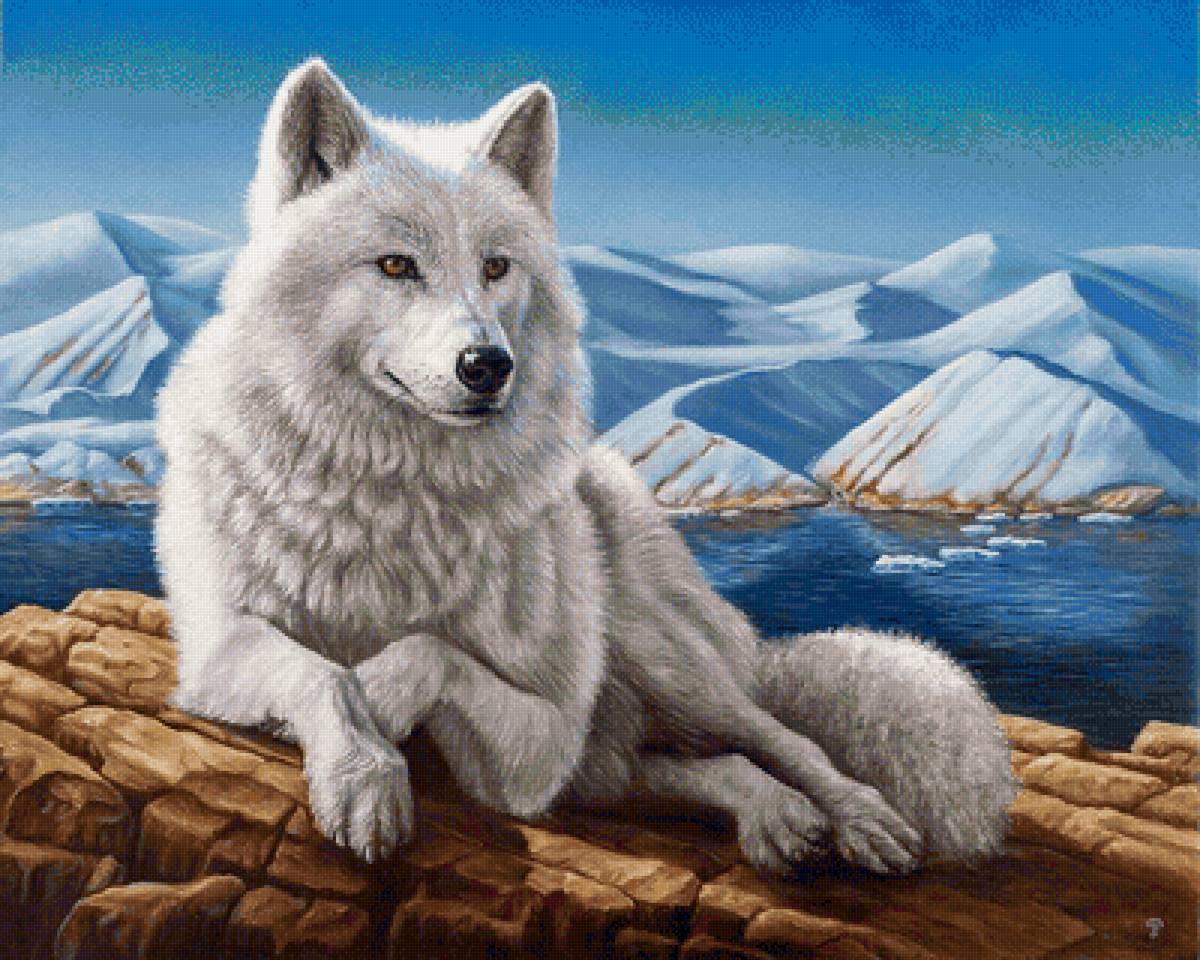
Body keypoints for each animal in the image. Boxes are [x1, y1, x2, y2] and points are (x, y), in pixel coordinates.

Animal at [156, 58, 1016, 876]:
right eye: (396, 266)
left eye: (496, 267)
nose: (487, 366)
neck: (398, 496)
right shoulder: (217, 648)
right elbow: (319, 671)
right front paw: (362, 776)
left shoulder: (538, 748)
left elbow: (421, 653)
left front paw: (379, 722)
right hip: (625, 740)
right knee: (677, 769)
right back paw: (778, 820)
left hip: (664, 657)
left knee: (777, 739)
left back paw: (861, 819)